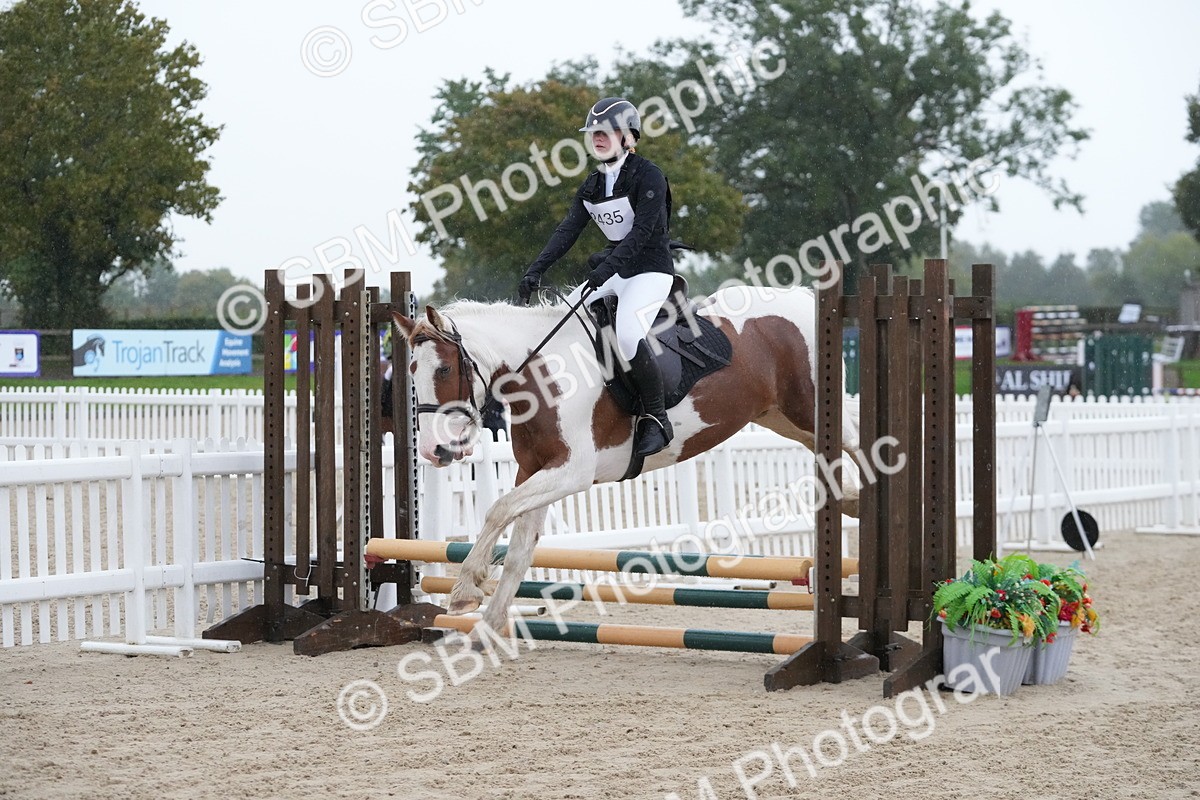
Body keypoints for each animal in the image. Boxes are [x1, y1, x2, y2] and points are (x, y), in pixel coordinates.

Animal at [390, 283, 862, 638]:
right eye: (410, 372)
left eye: (444, 371)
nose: (433, 451)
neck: (542, 374)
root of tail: (804, 296)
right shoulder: (536, 470)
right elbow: (520, 547)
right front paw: (487, 627)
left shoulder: (572, 473)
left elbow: (497, 510)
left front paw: (465, 589)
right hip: (781, 417)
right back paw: (851, 499)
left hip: (809, 408)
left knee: (858, 438)